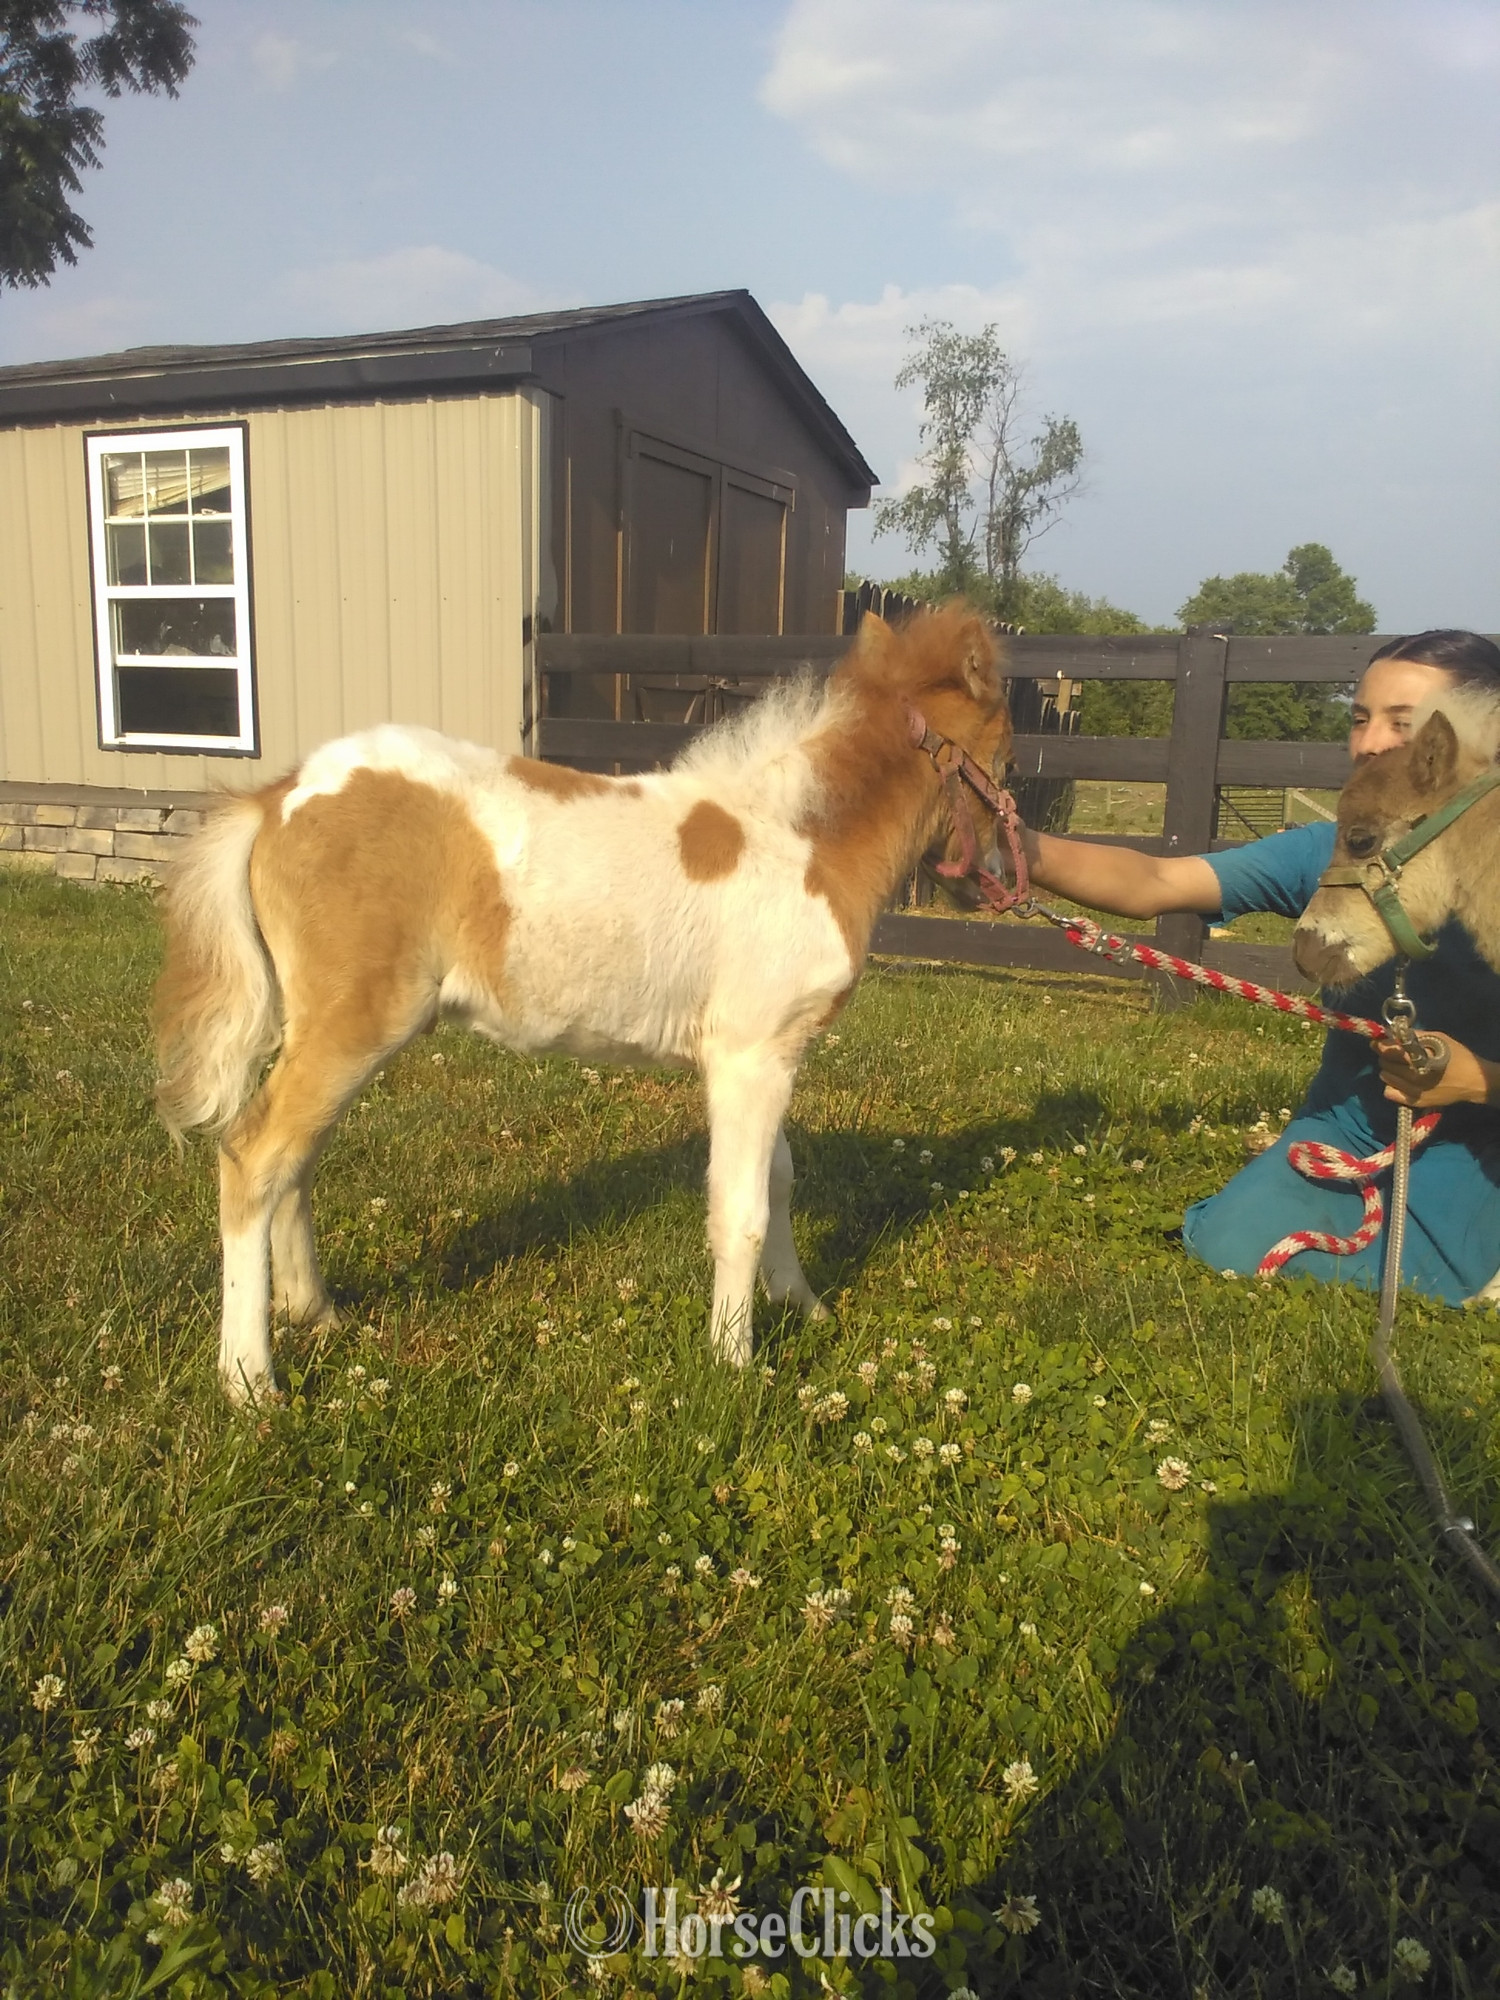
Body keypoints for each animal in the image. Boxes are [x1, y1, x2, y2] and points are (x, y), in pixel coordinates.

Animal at [153, 605, 1013, 1403]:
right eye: (1005, 750)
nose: (1006, 874)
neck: (801, 842)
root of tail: (276, 798)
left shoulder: (770, 1053)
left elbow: (778, 1179)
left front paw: (803, 1306)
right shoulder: (750, 1055)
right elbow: (742, 1208)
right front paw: (733, 1365)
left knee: (295, 1159)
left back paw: (316, 1313)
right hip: (353, 1027)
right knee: (255, 1155)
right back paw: (250, 1382)